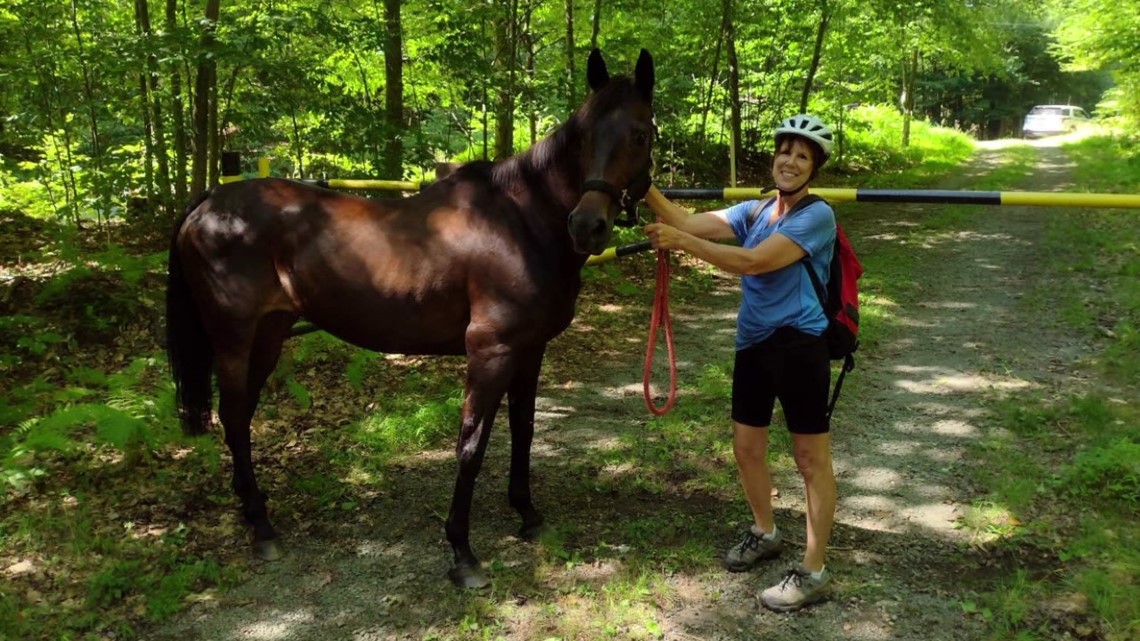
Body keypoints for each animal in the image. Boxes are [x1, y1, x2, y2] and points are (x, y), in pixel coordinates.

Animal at [165, 48, 655, 588]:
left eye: (640, 134)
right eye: (584, 135)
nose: (587, 226)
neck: (521, 222)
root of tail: (209, 202)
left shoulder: (531, 349)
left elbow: (524, 430)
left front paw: (528, 516)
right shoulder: (491, 351)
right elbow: (471, 444)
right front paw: (462, 553)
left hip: (268, 335)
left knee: (243, 415)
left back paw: (253, 511)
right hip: (233, 337)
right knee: (233, 415)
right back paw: (262, 529)